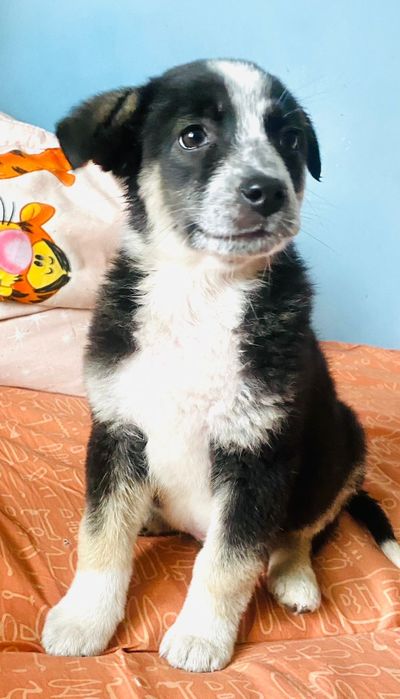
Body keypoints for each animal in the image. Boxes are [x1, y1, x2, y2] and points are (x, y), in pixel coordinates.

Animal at [42, 59, 400, 672]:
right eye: (193, 136)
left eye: (290, 140)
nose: (269, 191)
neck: (200, 292)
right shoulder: (116, 430)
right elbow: (102, 535)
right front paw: (84, 618)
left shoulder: (260, 455)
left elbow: (228, 561)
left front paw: (200, 637)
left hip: (342, 444)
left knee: (302, 529)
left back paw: (295, 578)